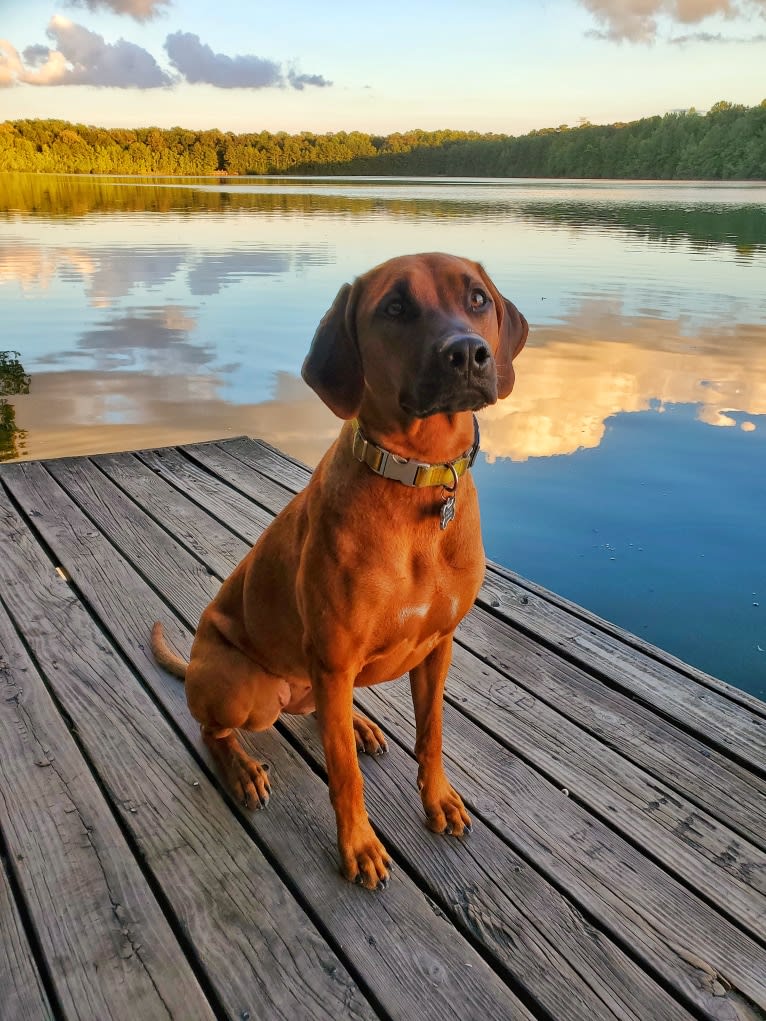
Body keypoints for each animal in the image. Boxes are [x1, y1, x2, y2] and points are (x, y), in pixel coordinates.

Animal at [155, 251, 527, 890]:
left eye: (477, 298)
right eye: (395, 307)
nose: (467, 353)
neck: (417, 477)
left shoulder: (438, 645)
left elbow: (431, 735)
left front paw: (438, 800)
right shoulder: (332, 657)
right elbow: (345, 777)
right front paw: (358, 846)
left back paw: (357, 724)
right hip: (246, 688)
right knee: (211, 729)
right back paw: (242, 769)